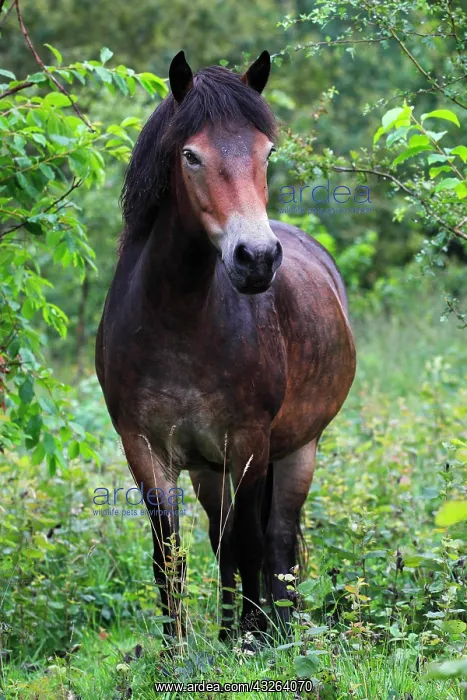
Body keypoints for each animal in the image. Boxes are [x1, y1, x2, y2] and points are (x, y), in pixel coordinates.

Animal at [95, 49, 356, 642]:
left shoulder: (251, 442)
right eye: (191, 155)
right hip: (207, 468)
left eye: (267, 152)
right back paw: (230, 629)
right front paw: (178, 648)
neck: (178, 324)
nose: (256, 258)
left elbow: (250, 543)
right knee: (221, 539)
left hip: (298, 448)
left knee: (276, 538)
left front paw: (254, 642)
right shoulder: (145, 449)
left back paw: (278, 628)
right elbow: (169, 557)